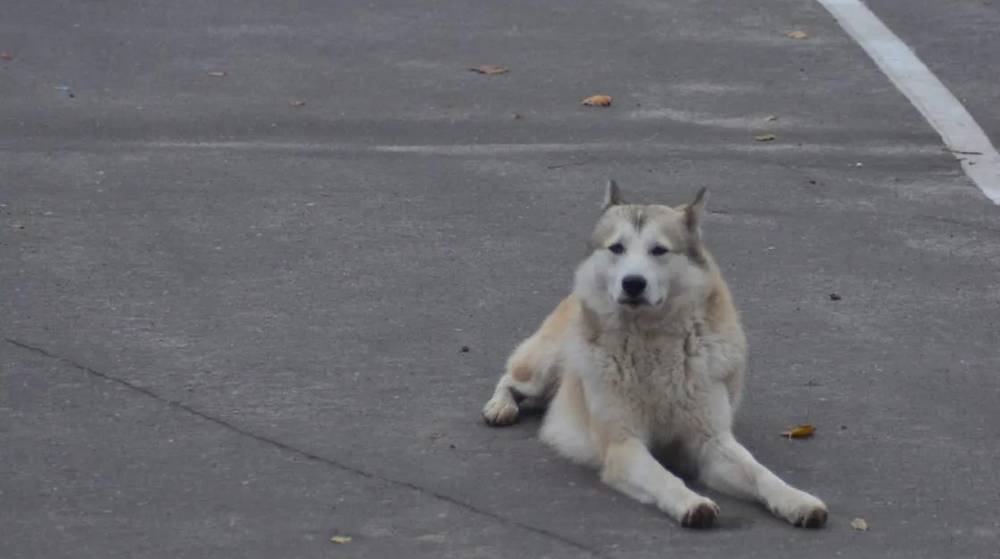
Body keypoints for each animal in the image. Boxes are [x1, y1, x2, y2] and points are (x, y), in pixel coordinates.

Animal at [484, 183, 828, 528]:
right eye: (617, 248)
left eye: (659, 250)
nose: (633, 283)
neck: (651, 343)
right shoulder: (624, 446)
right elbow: (663, 477)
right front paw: (691, 502)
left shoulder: (712, 444)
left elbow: (762, 475)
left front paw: (796, 500)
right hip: (544, 367)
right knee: (509, 378)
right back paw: (500, 406)